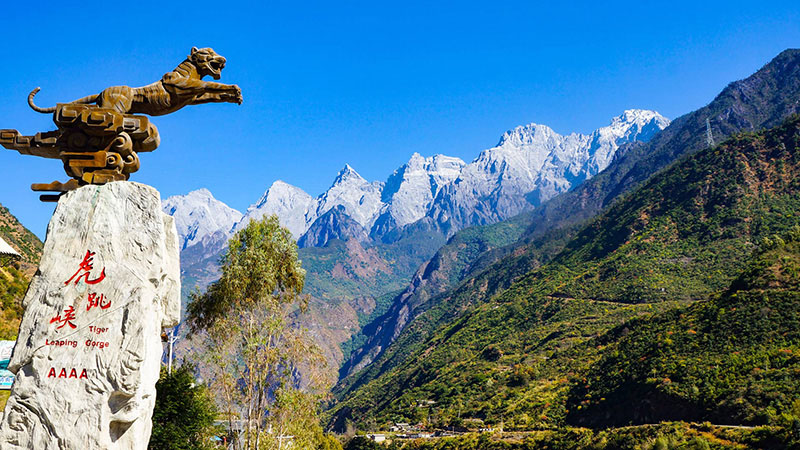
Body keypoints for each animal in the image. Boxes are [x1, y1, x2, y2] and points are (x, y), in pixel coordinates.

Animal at [27, 47, 242, 116]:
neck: (195, 72)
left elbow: (212, 93)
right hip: (114, 107)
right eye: (208, 53)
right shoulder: (183, 87)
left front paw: (234, 96)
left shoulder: (192, 97)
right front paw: (234, 88)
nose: (223, 59)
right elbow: (210, 85)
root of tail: (102, 91)